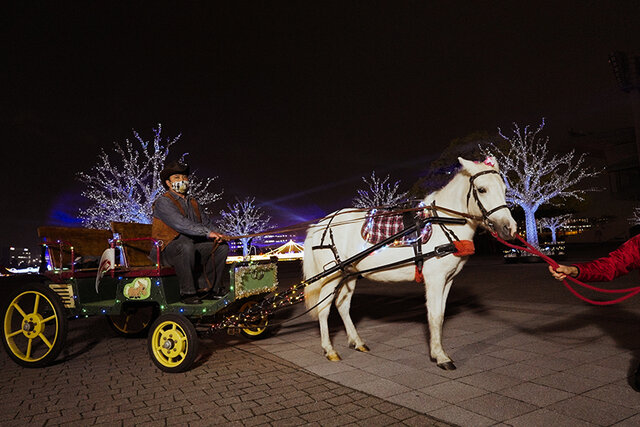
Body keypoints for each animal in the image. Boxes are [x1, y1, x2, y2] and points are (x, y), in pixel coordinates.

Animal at [302, 159, 516, 370]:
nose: (509, 227)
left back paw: (357, 341)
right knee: (324, 310)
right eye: (482, 189)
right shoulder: (435, 279)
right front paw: (440, 356)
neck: (442, 221)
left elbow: (441, 315)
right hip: (331, 275)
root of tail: (320, 224)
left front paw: (436, 351)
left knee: (343, 306)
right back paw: (329, 349)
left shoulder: (448, 279)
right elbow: (434, 315)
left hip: (349, 273)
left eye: (504, 188)